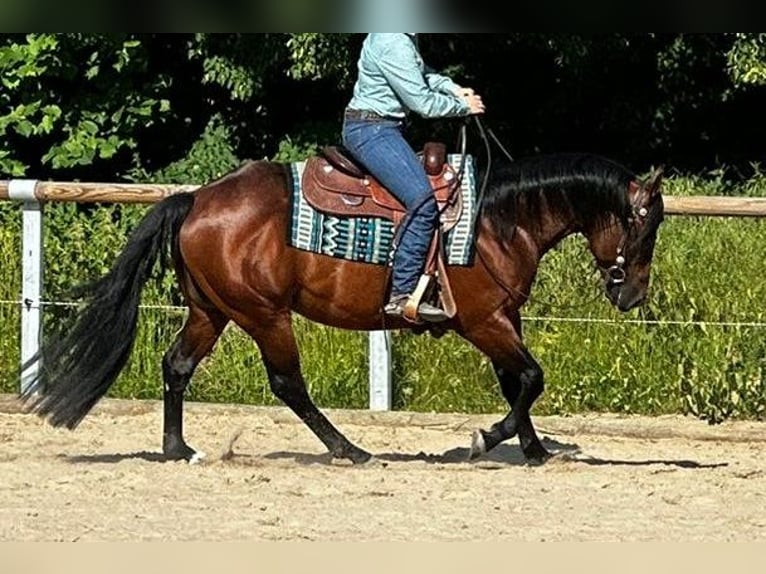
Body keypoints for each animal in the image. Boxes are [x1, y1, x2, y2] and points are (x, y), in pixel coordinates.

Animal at [19, 144, 665, 466]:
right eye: (646, 224)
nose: (631, 293)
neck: (497, 222)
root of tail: (196, 199)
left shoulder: (503, 320)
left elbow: (519, 382)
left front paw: (532, 449)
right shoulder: (484, 321)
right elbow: (530, 378)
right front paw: (489, 439)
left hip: (212, 310)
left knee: (177, 367)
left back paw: (178, 449)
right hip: (265, 316)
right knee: (289, 385)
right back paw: (349, 450)